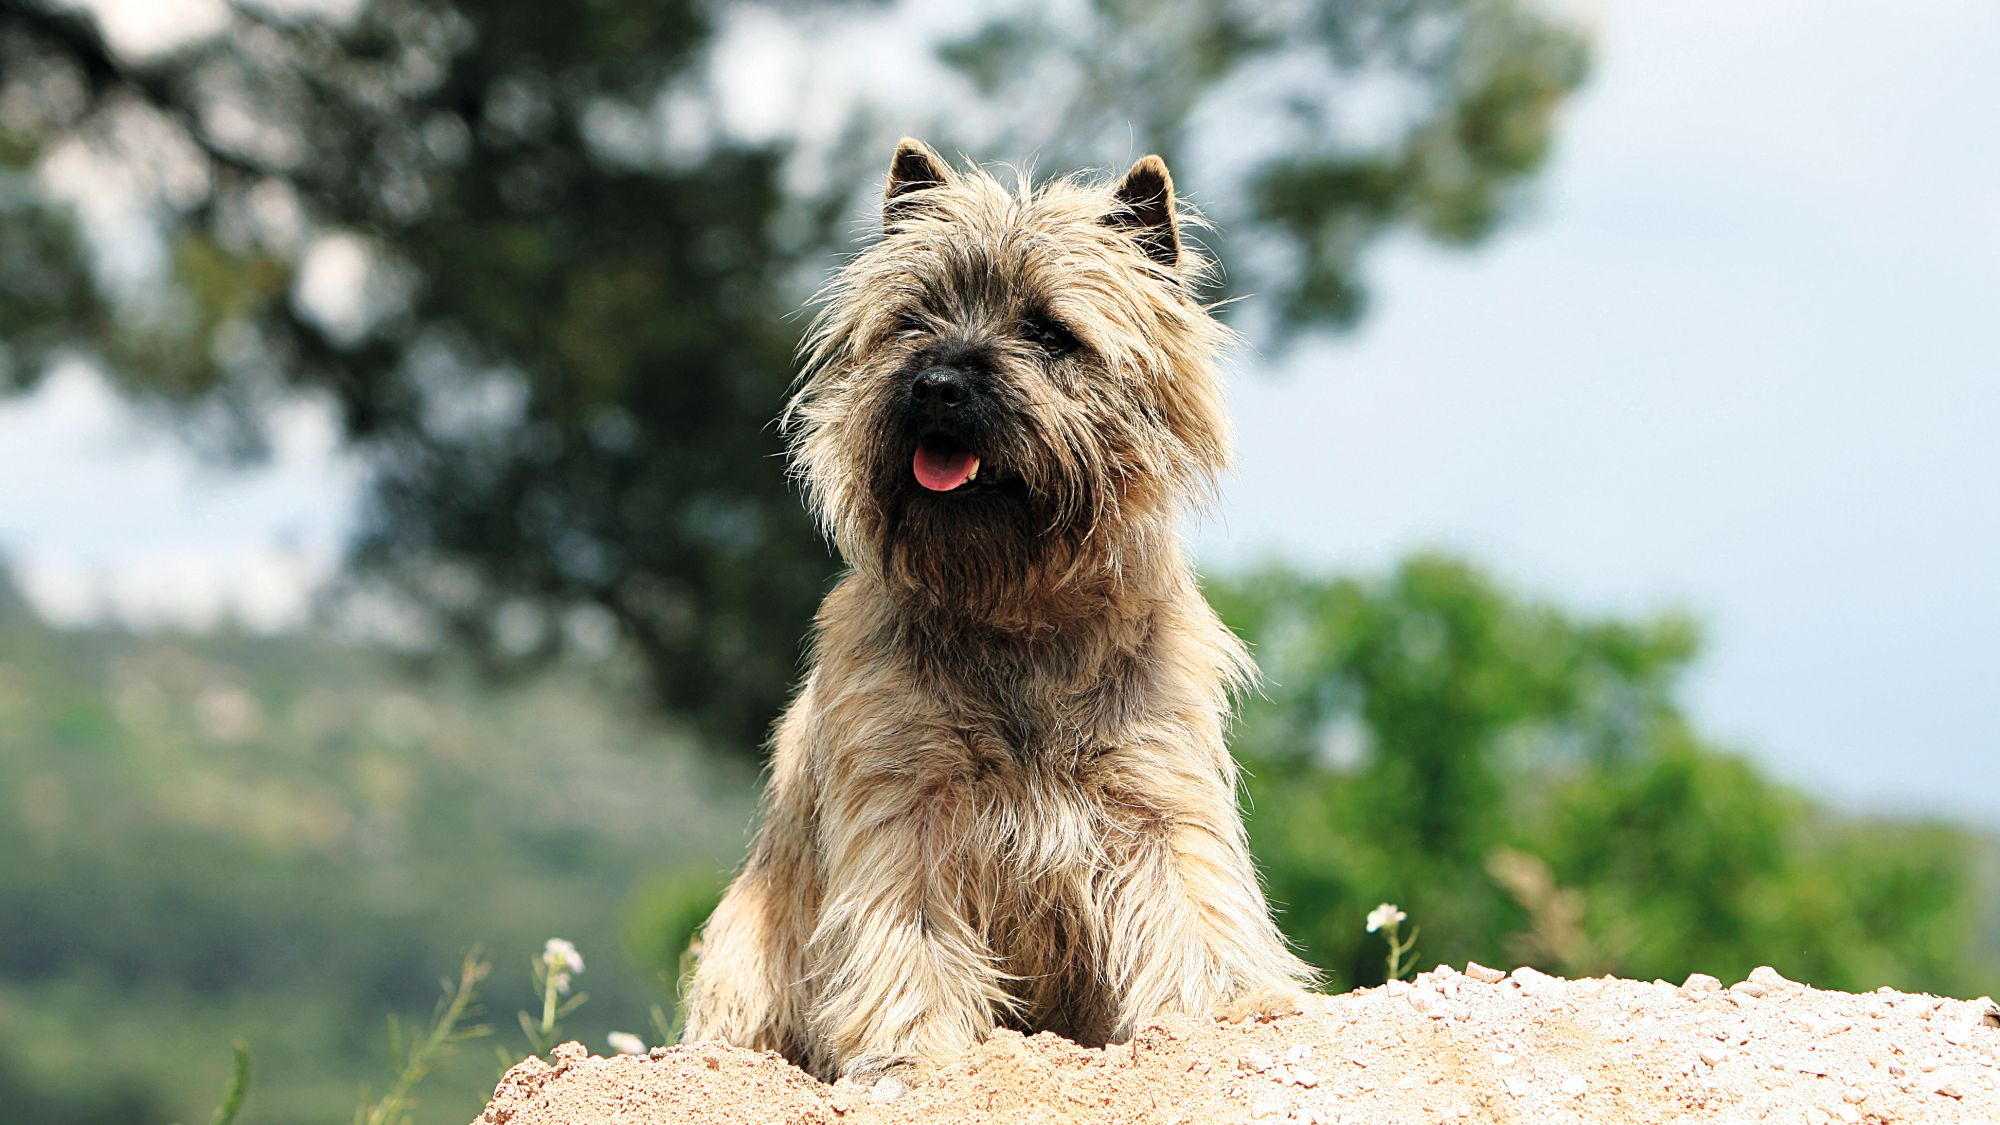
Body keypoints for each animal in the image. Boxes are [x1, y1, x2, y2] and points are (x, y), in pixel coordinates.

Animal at [680, 140, 1320, 1080]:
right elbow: (909, 936)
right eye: (914, 320)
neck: (1016, 608)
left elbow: (1191, 906)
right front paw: (913, 1049)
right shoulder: (905, 808)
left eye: (1051, 332)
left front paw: (1229, 1010)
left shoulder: (1155, 797)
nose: (938, 384)